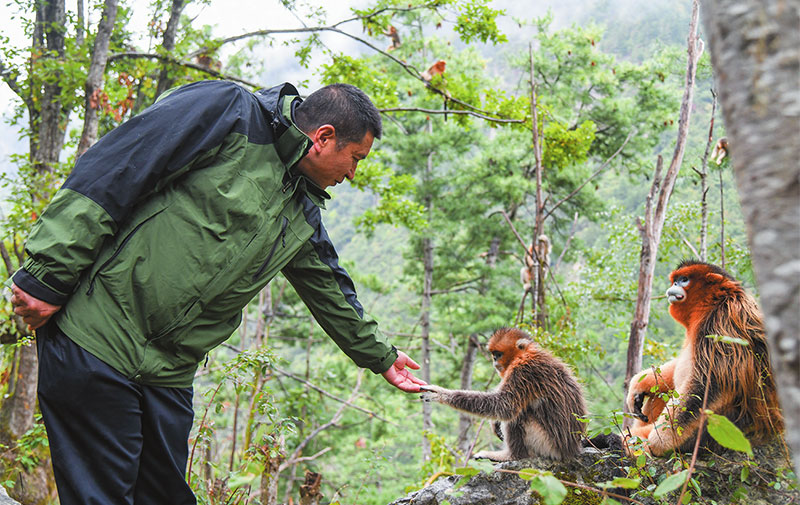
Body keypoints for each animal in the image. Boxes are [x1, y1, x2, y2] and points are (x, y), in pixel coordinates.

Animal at [418, 326, 588, 460]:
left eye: (498, 354)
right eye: (493, 353)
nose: (494, 359)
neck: (525, 354)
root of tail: (571, 450)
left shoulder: (523, 370)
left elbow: (504, 406)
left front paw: (441, 394)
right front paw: (494, 423)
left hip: (546, 444)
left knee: (519, 415)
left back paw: (509, 456)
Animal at [624, 260, 780, 452]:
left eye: (684, 280)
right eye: (675, 280)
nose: (674, 286)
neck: (713, 303)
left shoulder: (721, 323)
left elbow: (710, 383)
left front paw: (659, 440)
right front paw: (638, 384)